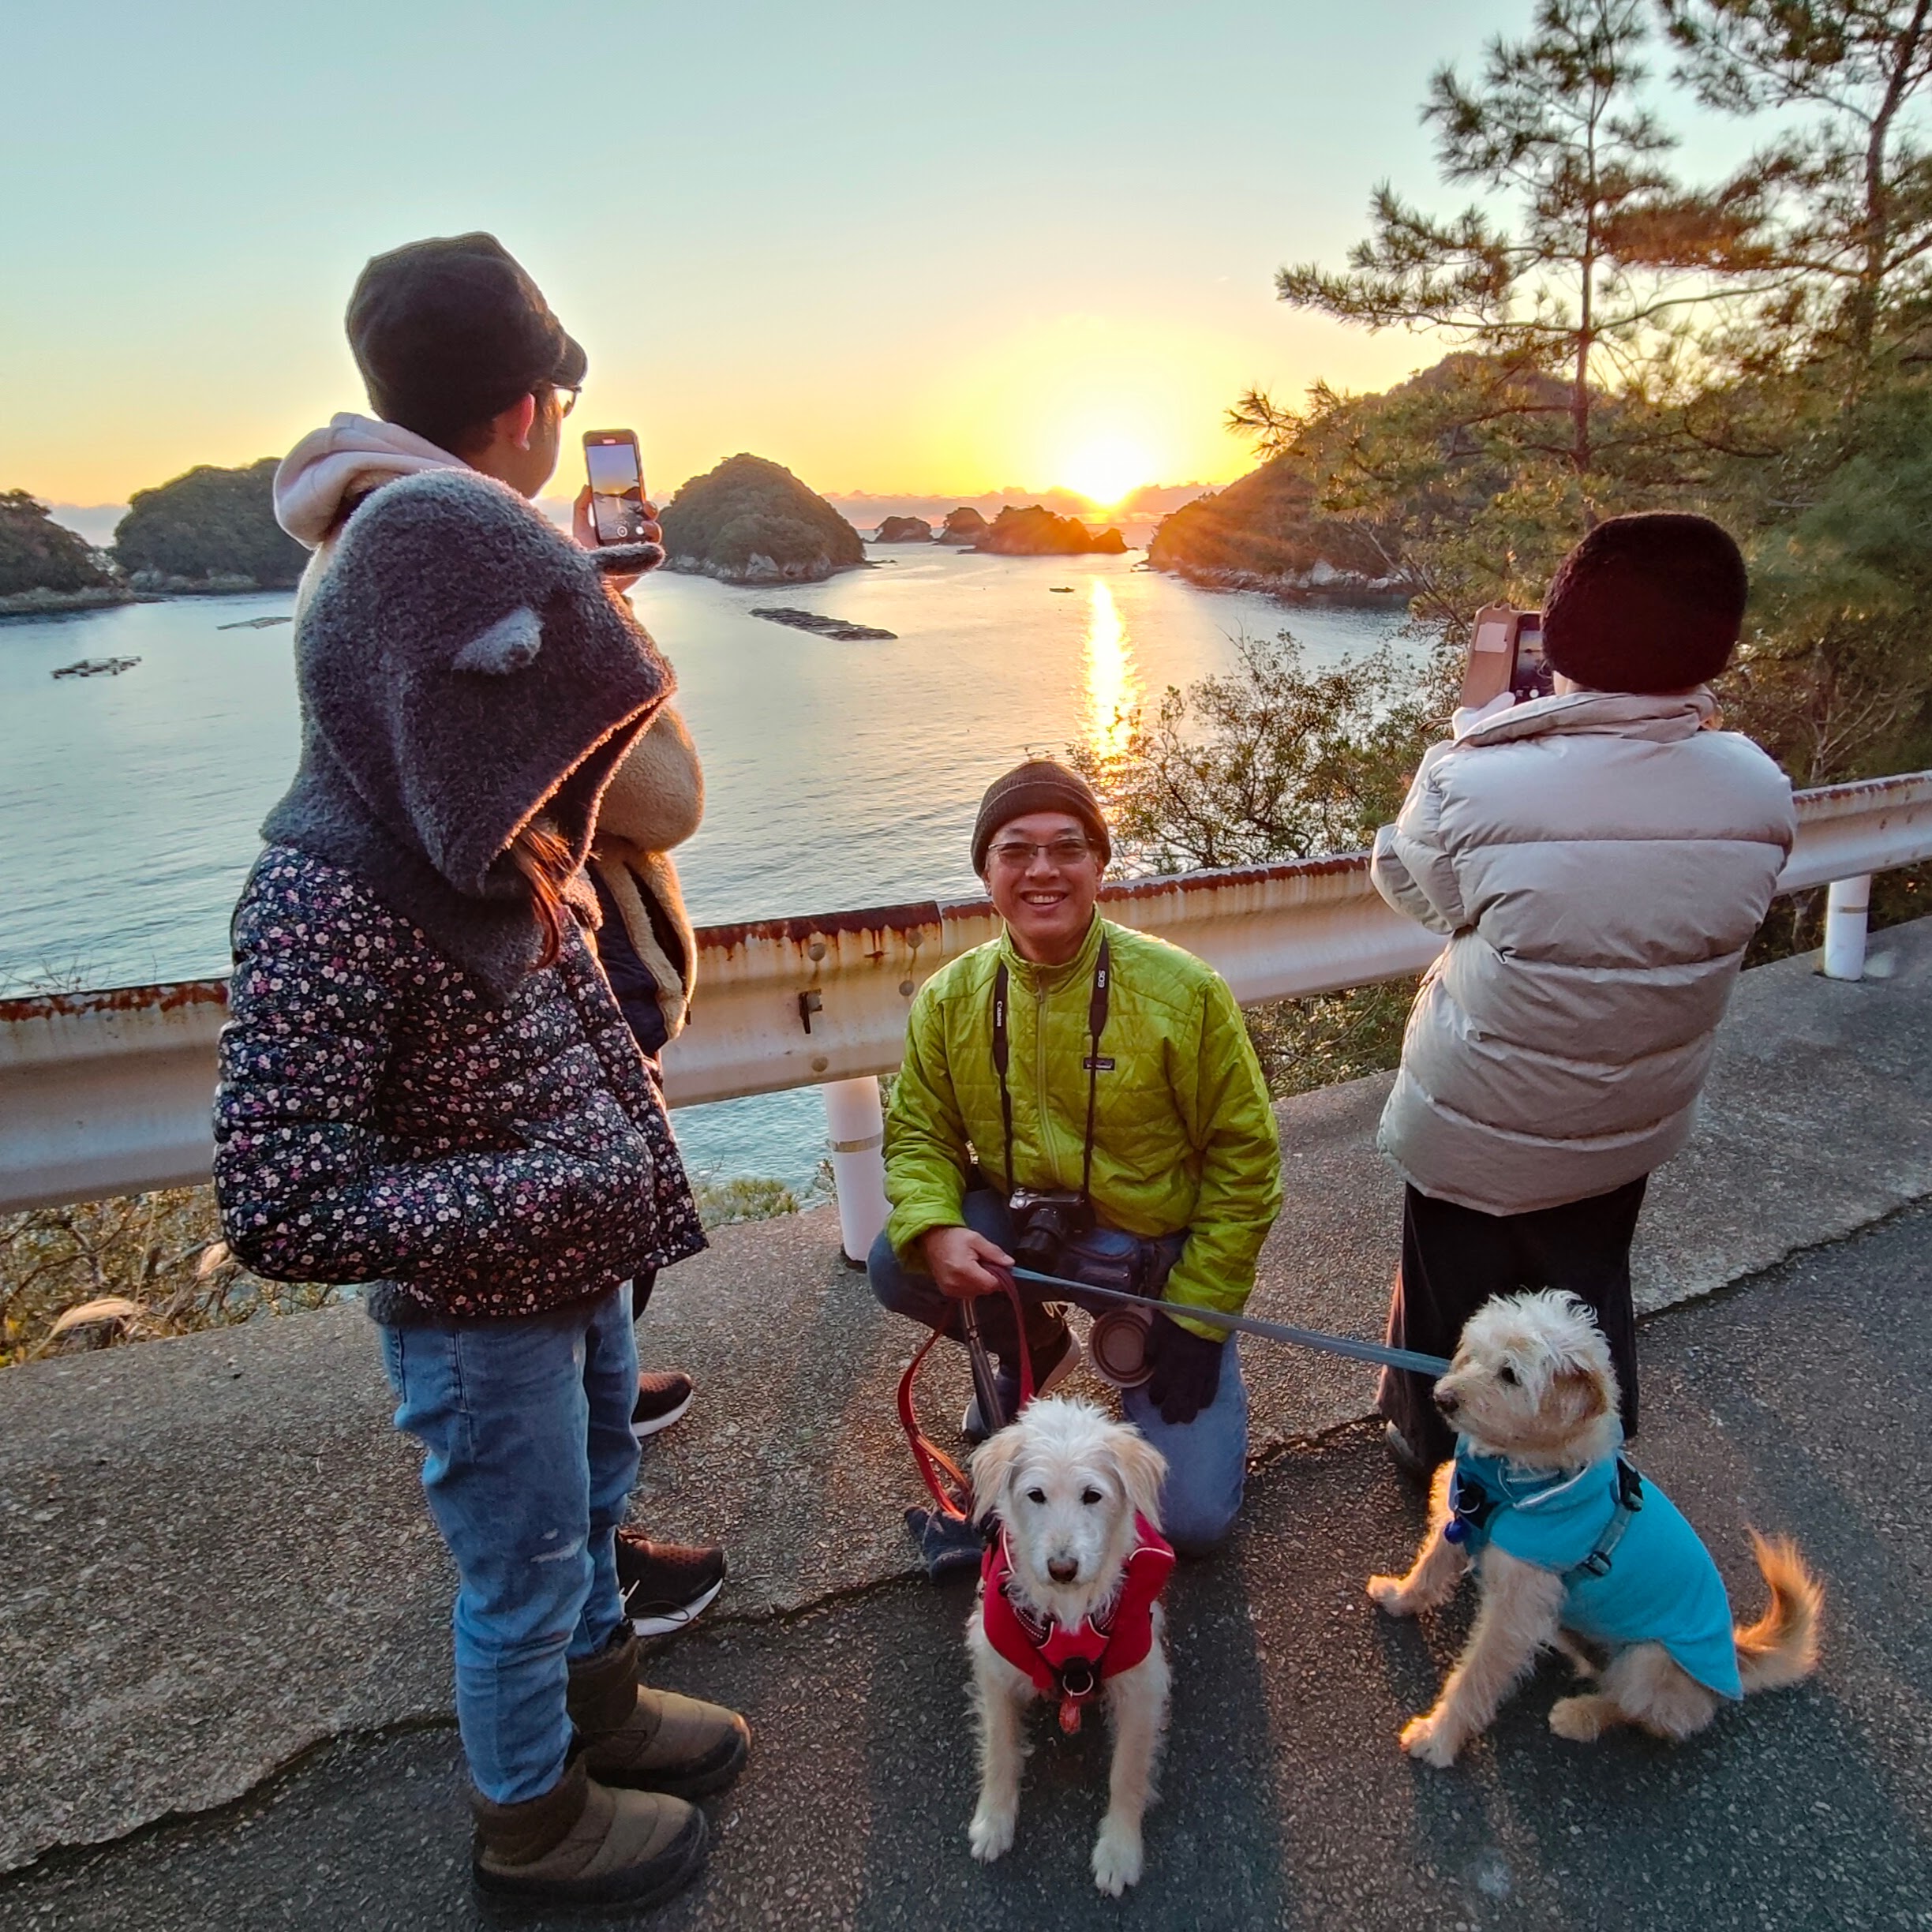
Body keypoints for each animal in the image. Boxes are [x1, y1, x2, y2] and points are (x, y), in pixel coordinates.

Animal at [1368, 1298, 1816, 1769]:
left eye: (1509, 1374)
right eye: (1473, 1355)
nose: (1443, 1398)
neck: (1519, 1479)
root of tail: (1734, 1656)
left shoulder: (1515, 1611)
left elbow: (1477, 1675)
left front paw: (1438, 1737)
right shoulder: (1461, 1520)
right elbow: (1430, 1568)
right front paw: (1399, 1596)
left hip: (1650, 1661)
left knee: (1649, 1714)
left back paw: (1582, 1715)